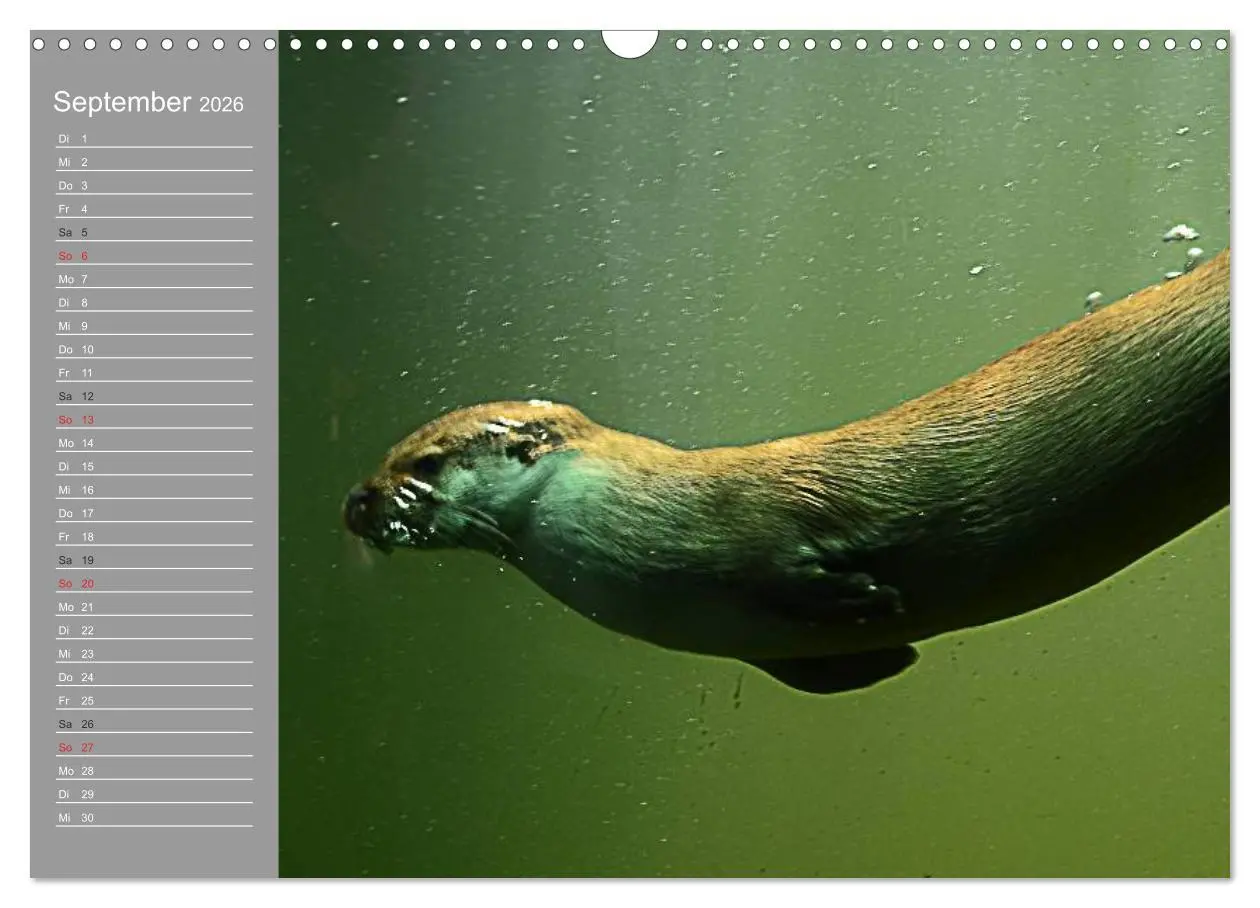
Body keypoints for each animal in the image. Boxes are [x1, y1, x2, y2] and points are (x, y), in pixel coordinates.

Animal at [344, 248, 1230, 694]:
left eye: (421, 463)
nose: (357, 499)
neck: (639, 517)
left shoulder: (752, 525)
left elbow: (793, 561)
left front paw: (865, 597)